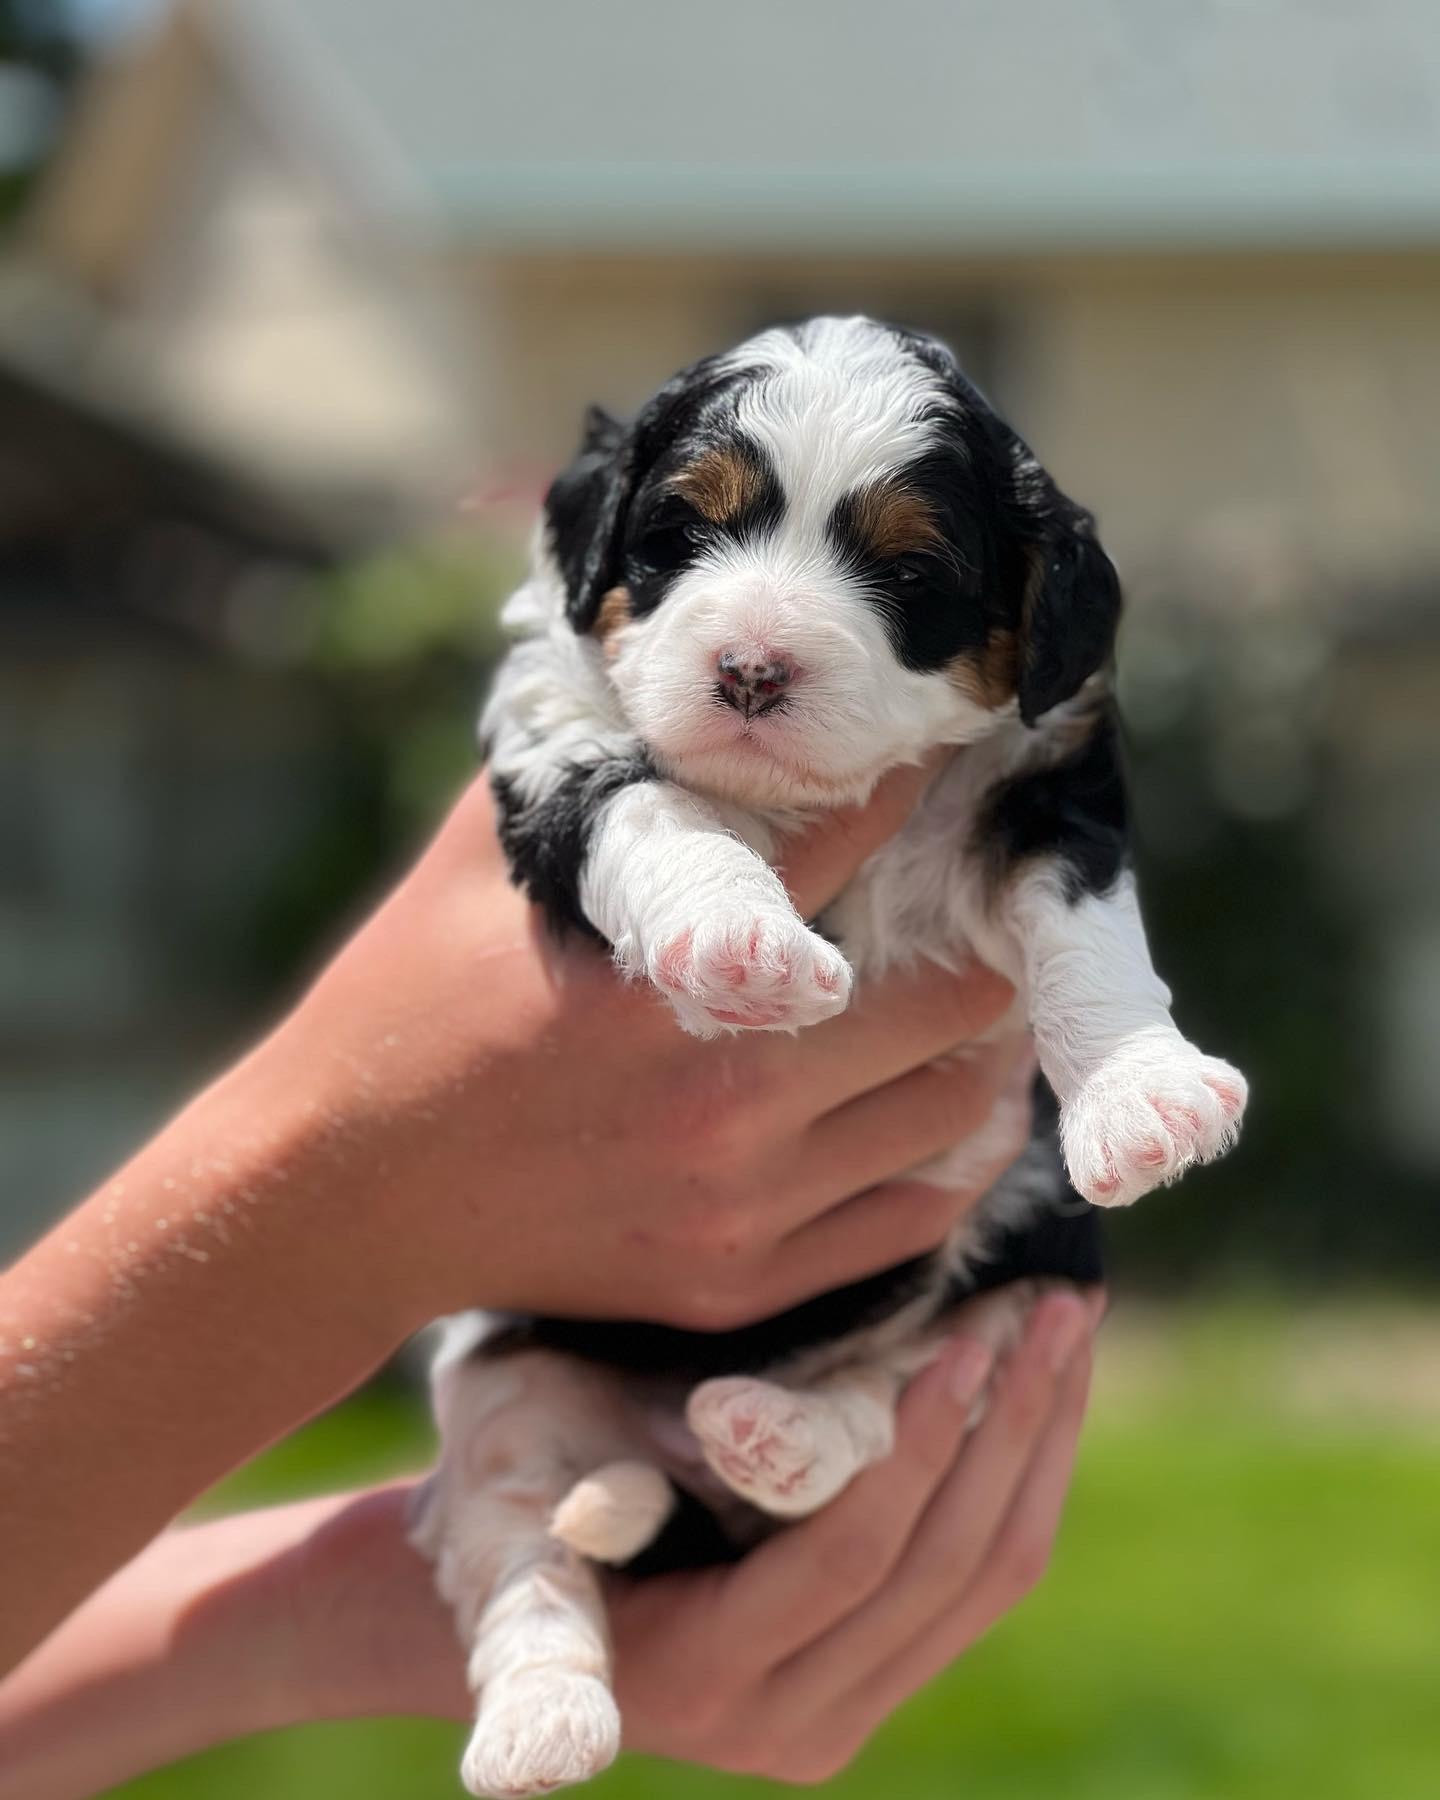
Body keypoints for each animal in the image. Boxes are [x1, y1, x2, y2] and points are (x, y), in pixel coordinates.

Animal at [409, 315, 1247, 1798]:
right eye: (679, 536)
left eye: (908, 572)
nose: (751, 668)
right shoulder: (560, 741)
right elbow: (660, 816)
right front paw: (739, 943)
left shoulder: (1041, 787)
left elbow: (1088, 932)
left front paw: (1141, 1095)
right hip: (504, 1384)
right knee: (525, 1556)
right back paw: (541, 1724)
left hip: (1028, 1274)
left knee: (887, 1410)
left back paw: (775, 1434)